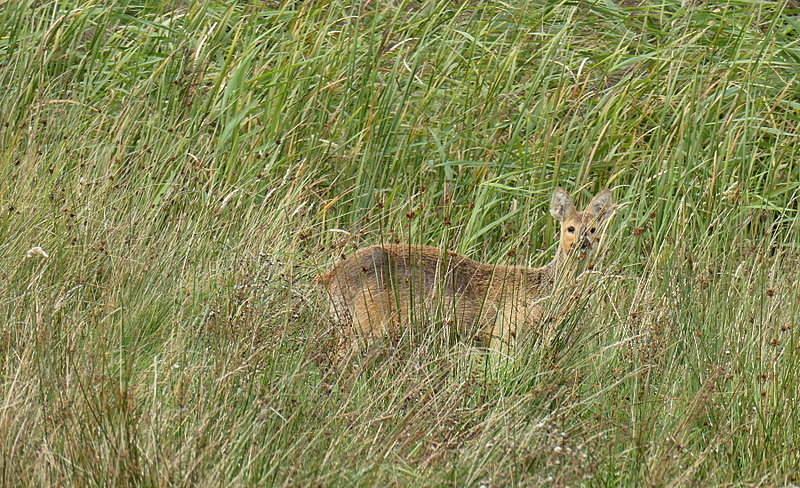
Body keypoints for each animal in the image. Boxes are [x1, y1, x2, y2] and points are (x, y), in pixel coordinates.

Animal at [312, 189, 612, 360]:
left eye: (594, 229)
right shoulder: (503, 330)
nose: (583, 242)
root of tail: (329, 276)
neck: (540, 290)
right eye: (570, 227)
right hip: (365, 324)